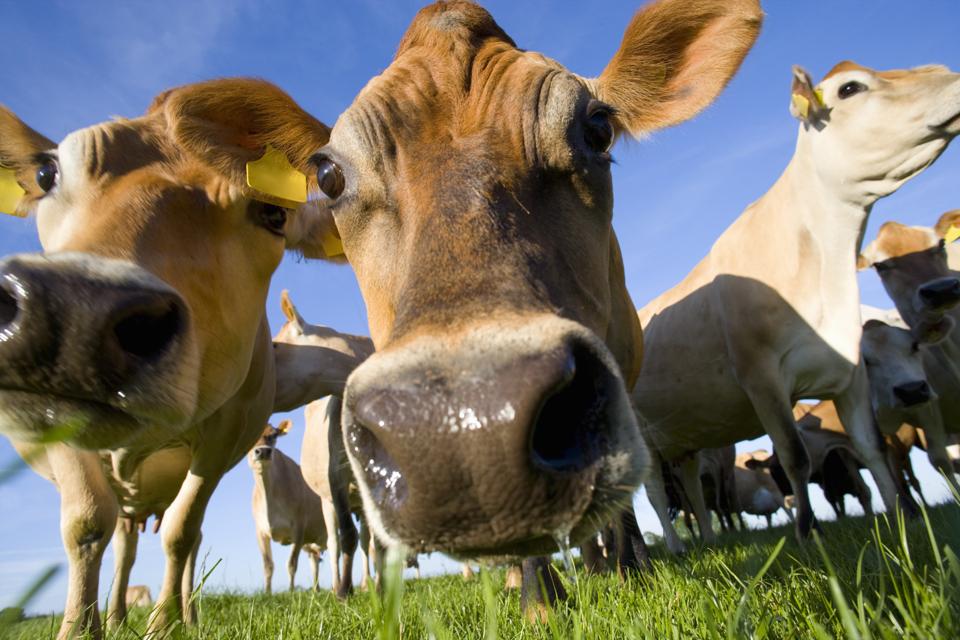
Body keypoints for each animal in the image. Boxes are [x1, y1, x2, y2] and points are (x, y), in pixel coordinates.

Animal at [248, 420, 327, 594]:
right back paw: (317, 590)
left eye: (274, 435)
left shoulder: (299, 528)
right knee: (316, 561)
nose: (263, 451)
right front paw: (267, 594)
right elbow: (268, 566)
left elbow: (291, 564)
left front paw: (291, 593)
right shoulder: (260, 531)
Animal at [634, 60, 960, 554]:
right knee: (656, 492)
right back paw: (675, 547)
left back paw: (708, 540)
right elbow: (794, 456)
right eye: (850, 88)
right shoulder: (761, 378)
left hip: (684, 438)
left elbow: (872, 447)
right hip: (640, 439)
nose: (956, 83)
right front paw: (809, 531)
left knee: (692, 486)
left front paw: (903, 519)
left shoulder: (850, 373)